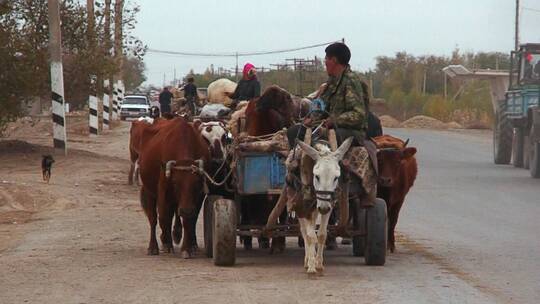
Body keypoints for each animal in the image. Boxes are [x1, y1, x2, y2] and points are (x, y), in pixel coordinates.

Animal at [138, 116, 210, 256]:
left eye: (196, 183)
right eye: (175, 182)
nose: (186, 210)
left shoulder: (197, 198)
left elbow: (189, 220)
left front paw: (187, 248)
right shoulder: (163, 191)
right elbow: (163, 217)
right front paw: (166, 242)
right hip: (150, 192)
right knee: (153, 218)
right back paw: (154, 246)